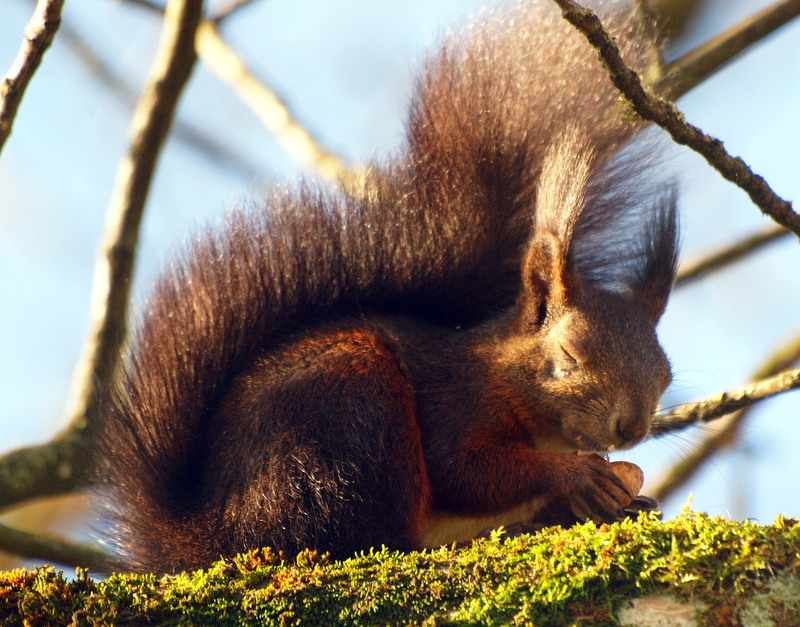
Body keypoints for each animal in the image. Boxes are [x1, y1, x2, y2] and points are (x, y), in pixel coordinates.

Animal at [97, 0, 680, 576]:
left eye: (665, 374)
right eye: (569, 355)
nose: (630, 428)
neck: (507, 376)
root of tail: (214, 536)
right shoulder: (458, 399)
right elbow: (462, 471)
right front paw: (572, 477)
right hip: (346, 409)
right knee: (361, 534)